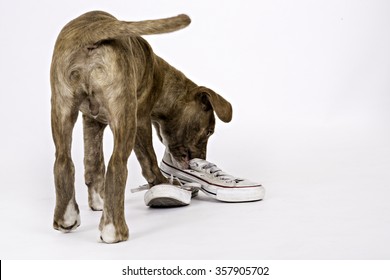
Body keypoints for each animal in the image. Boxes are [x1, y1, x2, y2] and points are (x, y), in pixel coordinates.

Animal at [48, 10, 232, 243]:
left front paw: (99, 201)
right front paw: (164, 184)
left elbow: (93, 164)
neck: (160, 79)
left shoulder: (91, 121)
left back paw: (66, 218)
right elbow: (149, 162)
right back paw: (114, 229)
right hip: (125, 115)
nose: (200, 162)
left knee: (63, 161)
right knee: (117, 165)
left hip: (61, 109)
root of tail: (90, 31)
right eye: (209, 131)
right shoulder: (141, 118)